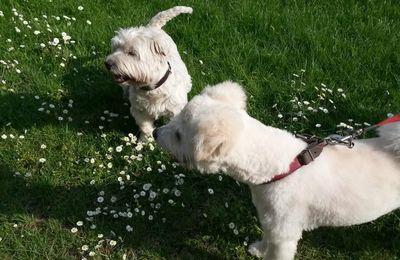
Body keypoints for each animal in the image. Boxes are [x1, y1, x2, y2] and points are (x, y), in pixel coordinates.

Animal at [105, 6, 193, 138]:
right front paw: (145, 139)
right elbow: (145, 127)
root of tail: (153, 27)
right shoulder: (139, 110)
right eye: (115, 49)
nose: (107, 64)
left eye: (132, 53)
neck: (152, 88)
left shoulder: (175, 110)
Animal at [153, 81, 400, 260]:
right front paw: (259, 249)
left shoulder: (285, 234)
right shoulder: (270, 220)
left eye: (179, 136)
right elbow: (267, 238)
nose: (155, 133)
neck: (279, 167)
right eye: (174, 119)